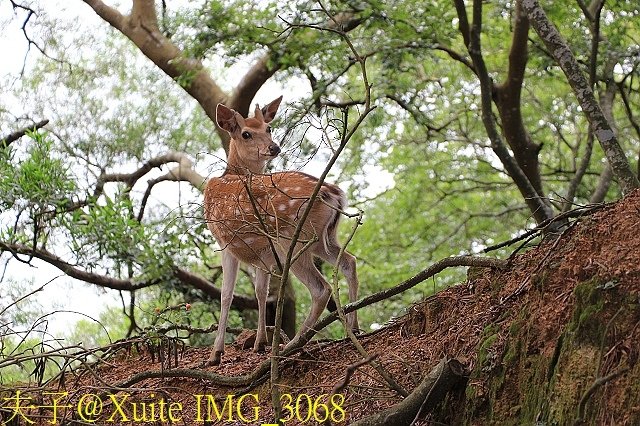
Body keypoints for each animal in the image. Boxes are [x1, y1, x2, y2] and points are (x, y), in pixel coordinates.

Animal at [202, 96, 358, 366]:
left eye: (269, 128)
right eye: (246, 133)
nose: (274, 148)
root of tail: (333, 194)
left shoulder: (224, 242)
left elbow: (226, 295)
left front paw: (216, 354)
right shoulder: (263, 251)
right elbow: (261, 292)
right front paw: (259, 343)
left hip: (291, 239)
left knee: (321, 288)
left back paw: (293, 344)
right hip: (323, 238)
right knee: (349, 261)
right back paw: (354, 328)